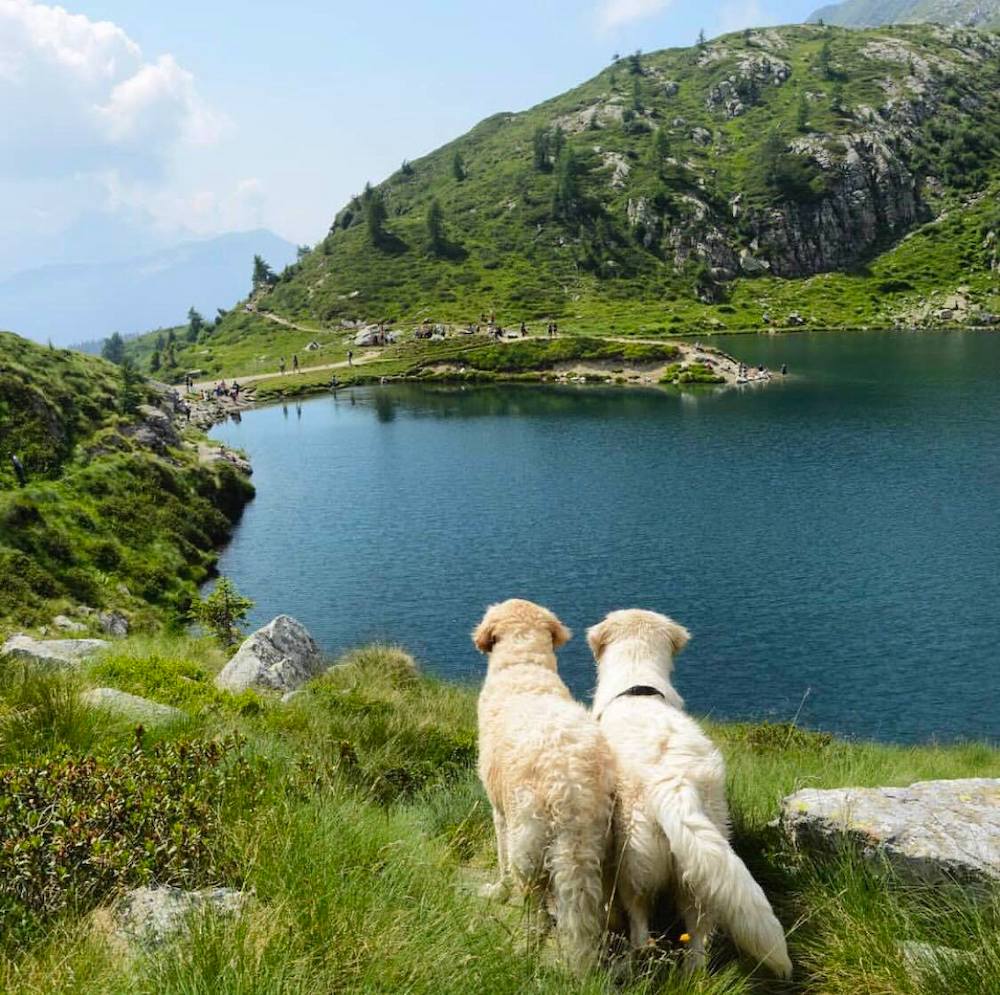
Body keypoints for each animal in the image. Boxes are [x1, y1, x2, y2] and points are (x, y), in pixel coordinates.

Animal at [472, 600, 612, 972]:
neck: (524, 664)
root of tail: (568, 785)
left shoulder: (499, 813)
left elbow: (500, 859)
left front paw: (498, 891)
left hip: (528, 844)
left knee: (532, 902)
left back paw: (524, 947)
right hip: (592, 849)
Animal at [584, 608, 788, 980]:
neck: (637, 686)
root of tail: (676, 785)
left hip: (635, 860)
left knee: (639, 918)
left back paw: (638, 955)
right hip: (701, 861)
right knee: (698, 931)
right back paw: (695, 972)